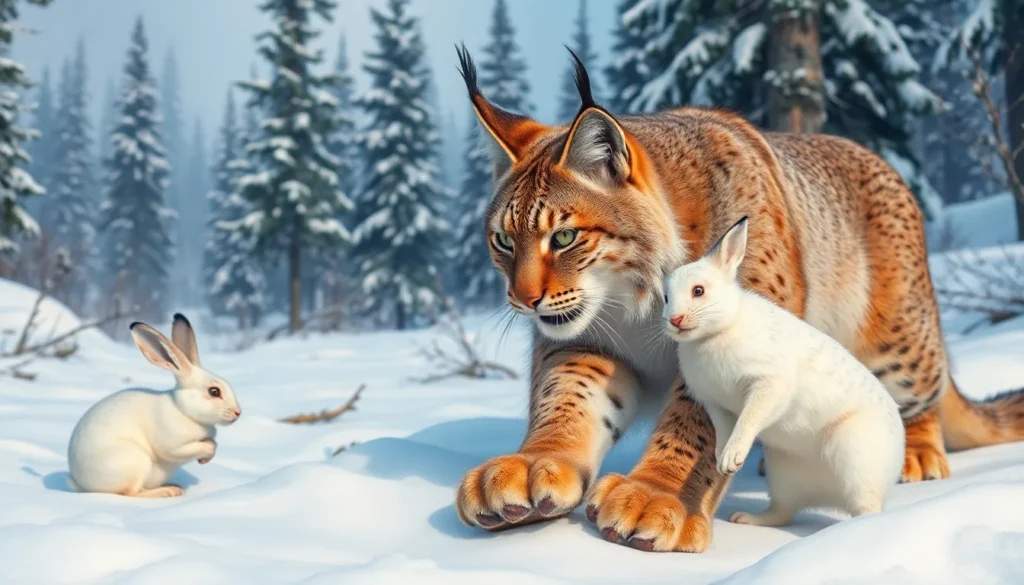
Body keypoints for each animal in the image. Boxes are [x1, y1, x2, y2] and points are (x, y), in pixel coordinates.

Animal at [67, 313, 241, 497]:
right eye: (214, 391)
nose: (237, 412)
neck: (182, 409)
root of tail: (80, 483)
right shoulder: (174, 446)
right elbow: (205, 446)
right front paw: (204, 457)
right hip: (136, 462)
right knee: (130, 493)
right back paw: (169, 491)